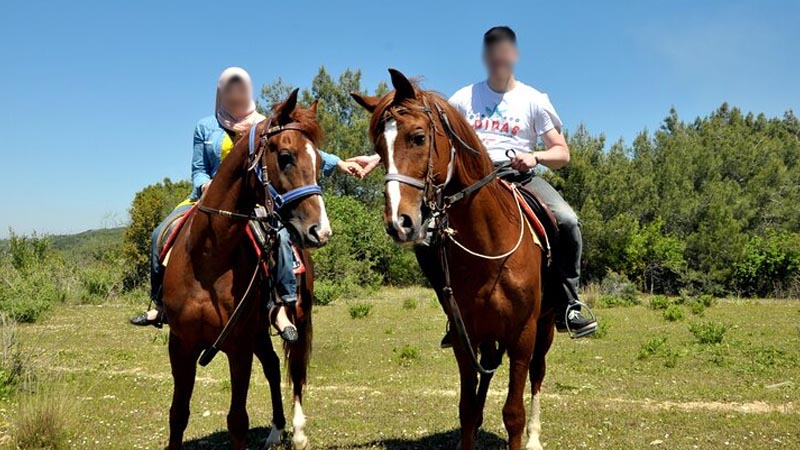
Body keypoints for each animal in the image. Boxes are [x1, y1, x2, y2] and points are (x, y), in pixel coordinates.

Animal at [162, 89, 327, 450]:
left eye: (321, 162)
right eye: (285, 156)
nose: (320, 231)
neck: (209, 259)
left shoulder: (238, 346)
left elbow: (237, 420)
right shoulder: (181, 345)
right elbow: (178, 413)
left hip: (296, 317)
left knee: (295, 369)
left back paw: (297, 432)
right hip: (259, 331)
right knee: (274, 366)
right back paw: (276, 429)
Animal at [352, 69, 557, 450]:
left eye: (418, 137)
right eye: (378, 149)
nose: (399, 222)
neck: (490, 250)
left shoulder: (522, 336)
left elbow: (513, 413)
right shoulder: (464, 337)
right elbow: (467, 410)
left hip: (546, 325)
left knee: (538, 372)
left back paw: (536, 437)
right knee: (487, 371)